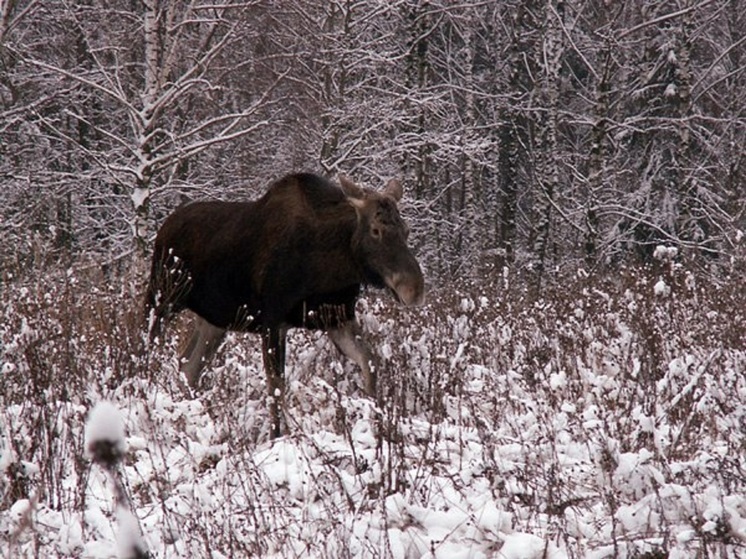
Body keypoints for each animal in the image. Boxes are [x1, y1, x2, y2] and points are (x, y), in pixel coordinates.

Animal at [145, 173, 424, 440]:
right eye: (376, 230)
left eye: (407, 230)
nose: (415, 289)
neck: (333, 267)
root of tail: (164, 228)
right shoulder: (273, 322)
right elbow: (276, 386)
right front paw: (276, 437)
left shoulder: (338, 319)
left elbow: (370, 362)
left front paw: (375, 423)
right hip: (162, 297)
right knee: (147, 347)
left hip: (215, 321)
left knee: (188, 366)